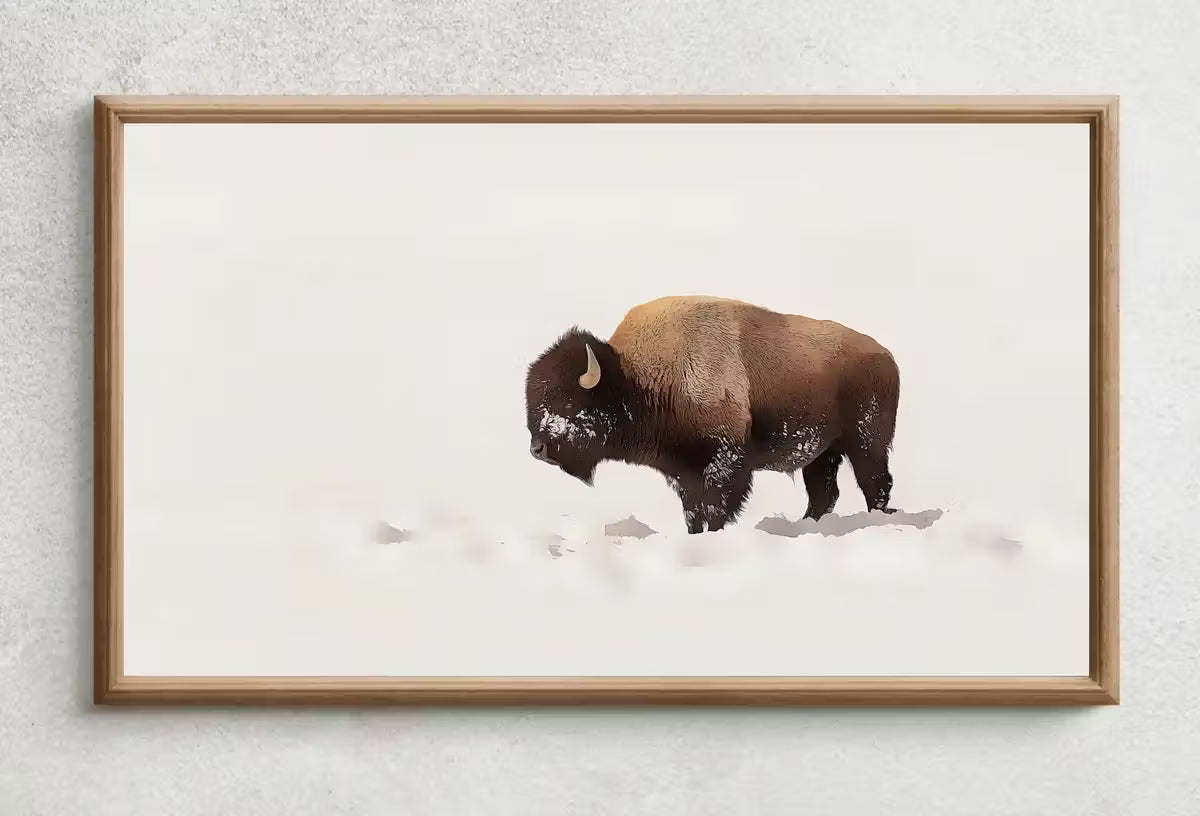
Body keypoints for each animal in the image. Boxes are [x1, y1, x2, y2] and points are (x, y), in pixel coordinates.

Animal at [524, 295, 900, 534]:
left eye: (568, 402)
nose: (537, 450)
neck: (637, 377)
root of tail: (885, 355)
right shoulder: (682, 471)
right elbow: (693, 510)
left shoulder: (725, 460)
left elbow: (716, 505)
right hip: (822, 453)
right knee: (824, 493)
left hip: (866, 443)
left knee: (875, 484)